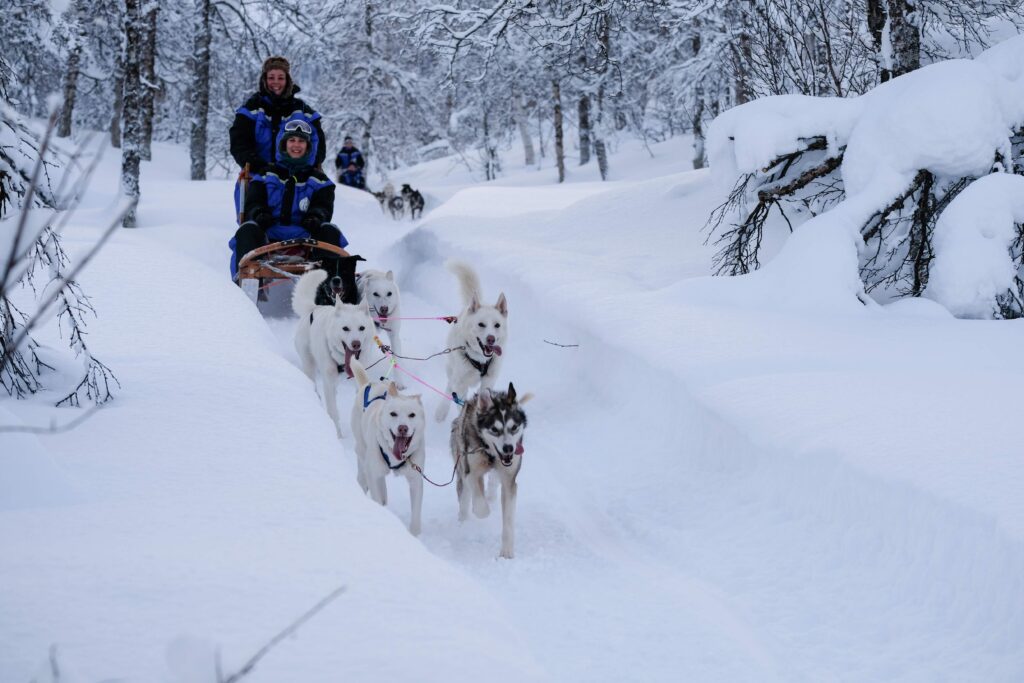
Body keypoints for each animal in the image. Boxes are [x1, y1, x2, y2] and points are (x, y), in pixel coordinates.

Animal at [292, 268, 376, 438]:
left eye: (362, 328)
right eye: (345, 328)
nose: (356, 344)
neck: (342, 360)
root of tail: (313, 308)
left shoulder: (359, 378)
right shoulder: (328, 382)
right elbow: (332, 411)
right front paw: (337, 436)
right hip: (309, 364)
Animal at [350, 358, 425, 540]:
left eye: (412, 415)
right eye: (393, 414)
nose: (403, 428)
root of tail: (367, 384)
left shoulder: (416, 479)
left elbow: (416, 515)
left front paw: (415, 536)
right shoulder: (373, 471)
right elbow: (376, 495)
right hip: (363, 451)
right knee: (364, 473)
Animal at [434, 262, 509, 421]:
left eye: (497, 325)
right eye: (481, 324)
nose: (491, 339)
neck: (480, 360)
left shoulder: (488, 382)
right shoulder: (461, 384)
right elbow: (461, 404)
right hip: (452, 369)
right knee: (449, 385)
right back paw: (442, 410)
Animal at [456, 382, 536, 557]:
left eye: (514, 427)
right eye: (494, 429)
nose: (508, 448)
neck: (490, 454)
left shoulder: (509, 482)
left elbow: (508, 521)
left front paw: (506, 552)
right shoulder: (470, 471)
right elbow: (480, 505)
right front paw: (481, 510)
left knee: (493, 482)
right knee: (465, 497)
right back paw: (464, 520)